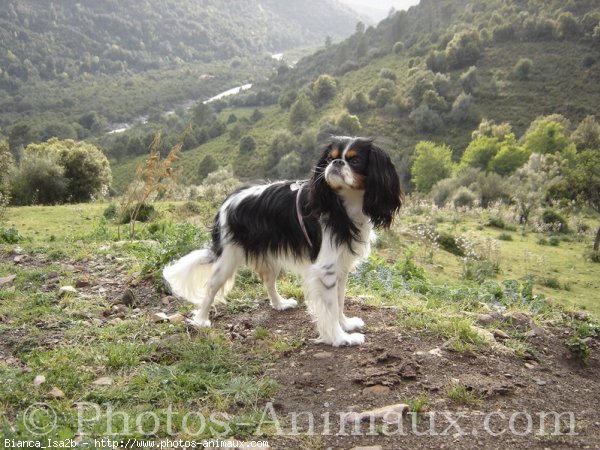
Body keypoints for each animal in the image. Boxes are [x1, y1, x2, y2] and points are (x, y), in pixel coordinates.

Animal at [162, 135, 400, 346]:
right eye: (329, 158)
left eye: (355, 160)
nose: (336, 163)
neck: (344, 204)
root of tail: (229, 199)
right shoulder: (326, 269)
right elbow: (330, 307)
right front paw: (340, 338)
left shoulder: (340, 266)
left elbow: (339, 301)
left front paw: (345, 324)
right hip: (229, 257)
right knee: (211, 287)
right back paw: (201, 320)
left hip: (270, 254)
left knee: (268, 281)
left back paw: (280, 304)